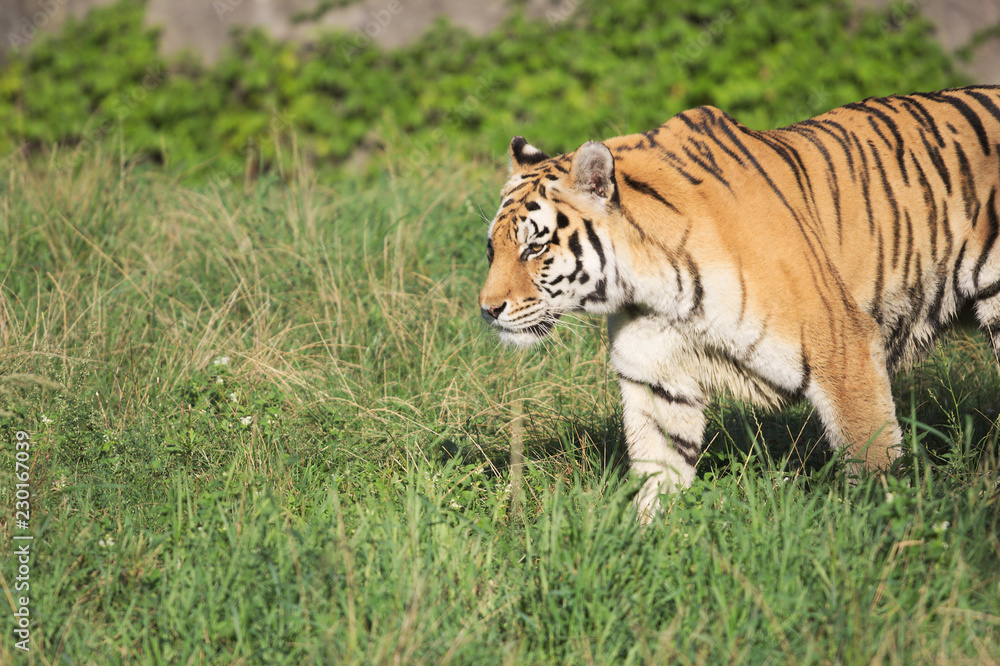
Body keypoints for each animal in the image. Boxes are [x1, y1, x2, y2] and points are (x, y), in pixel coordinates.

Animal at [478, 86, 1000, 522]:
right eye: (492, 249)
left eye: (534, 248)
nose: (488, 309)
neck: (650, 285)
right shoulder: (656, 377)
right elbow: (658, 474)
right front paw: (646, 546)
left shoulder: (844, 353)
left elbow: (871, 459)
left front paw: (879, 533)